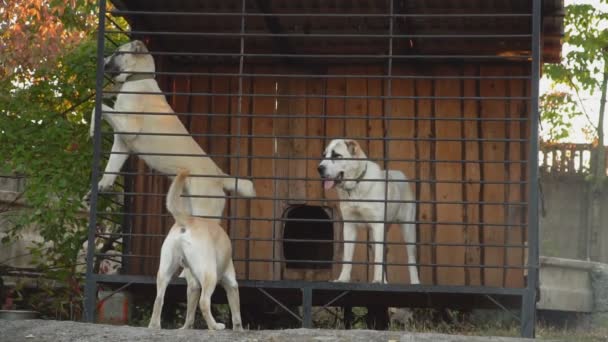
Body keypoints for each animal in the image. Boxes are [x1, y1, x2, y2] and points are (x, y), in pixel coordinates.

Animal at [148, 170, 242, 330]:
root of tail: (187, 220)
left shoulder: (193, 287)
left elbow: (190, 314)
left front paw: (186, 328)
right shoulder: (231, 284)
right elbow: (236, 315)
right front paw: (239, 329)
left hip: (164, 272)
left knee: (158, 299)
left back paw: (154, 326)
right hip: (209, 274)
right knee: (204, 302)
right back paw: (215, 326)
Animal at [316, 138, 420, 284]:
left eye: (336, 155)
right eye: (324, 155)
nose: (319, 168)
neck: (356, 186)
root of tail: (400, 174)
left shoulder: (378, 225)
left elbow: (378, 259)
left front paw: (378, 281)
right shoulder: (349, 226)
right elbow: (347, 258)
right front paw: (343, 279)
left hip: (407, 229)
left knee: (410, 258)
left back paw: (415, 282)